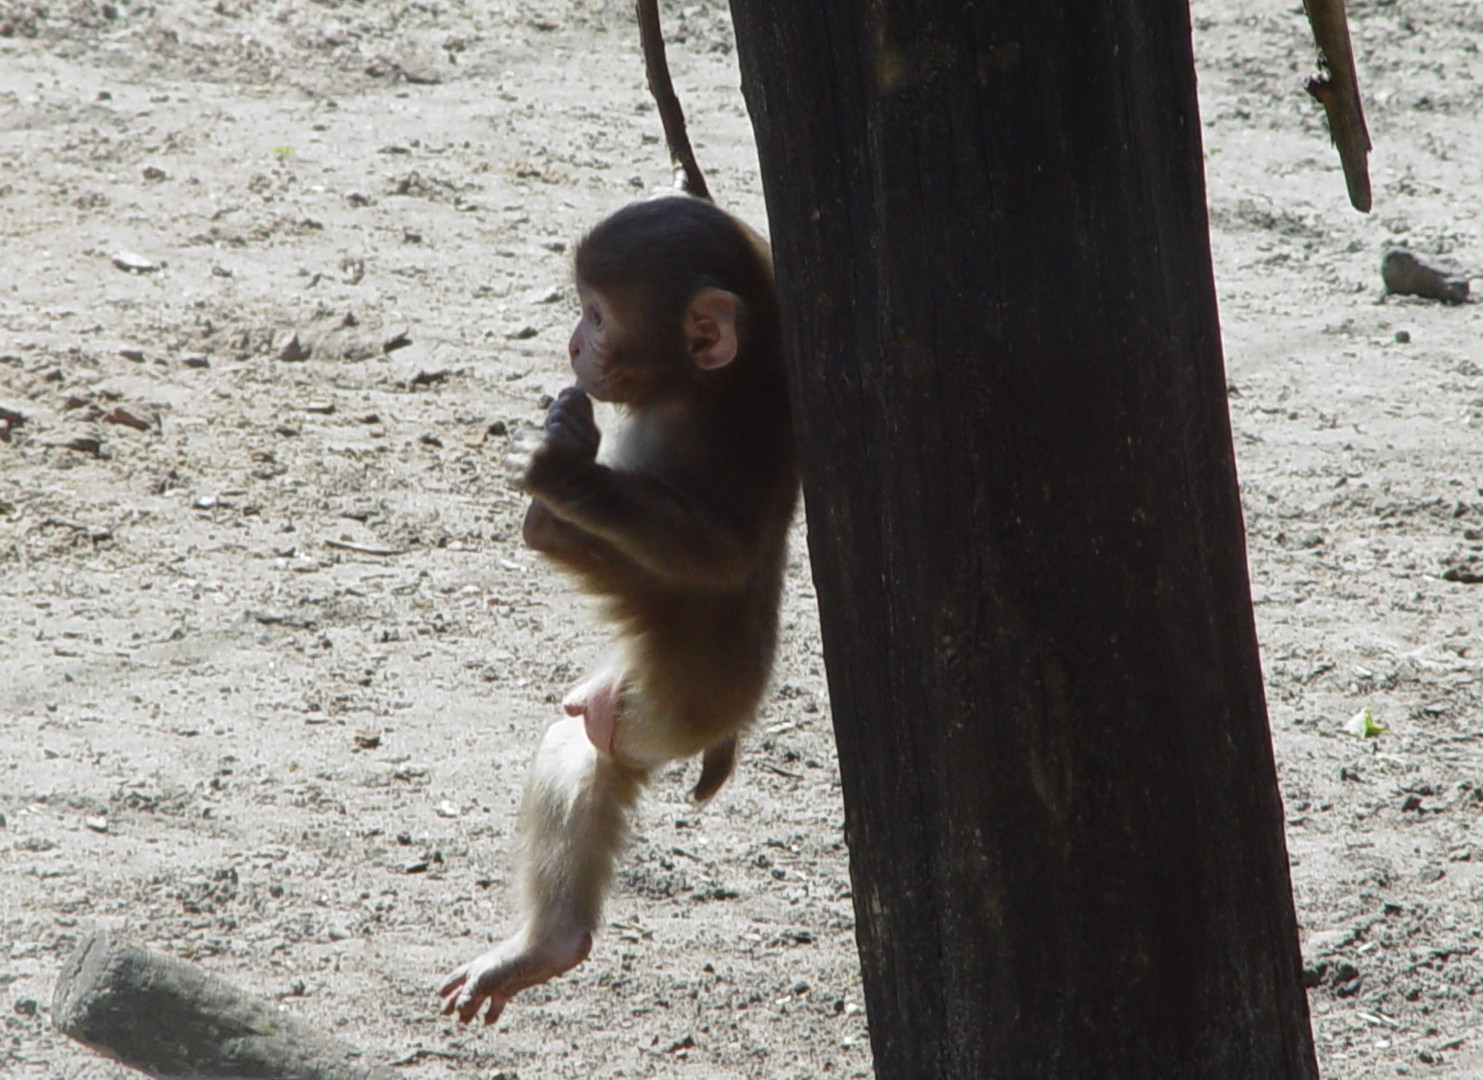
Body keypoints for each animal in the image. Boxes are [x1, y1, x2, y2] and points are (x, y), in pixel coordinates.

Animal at [436, 195, 800, 1026]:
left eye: (598, 316)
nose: (574, 341)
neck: (699, 387)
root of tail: (734, 710)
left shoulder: (724, 435)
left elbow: (720, 555)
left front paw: (565, 476)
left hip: (677, 707)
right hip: (631, 703)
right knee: (577, 749)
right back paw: (547, 944)